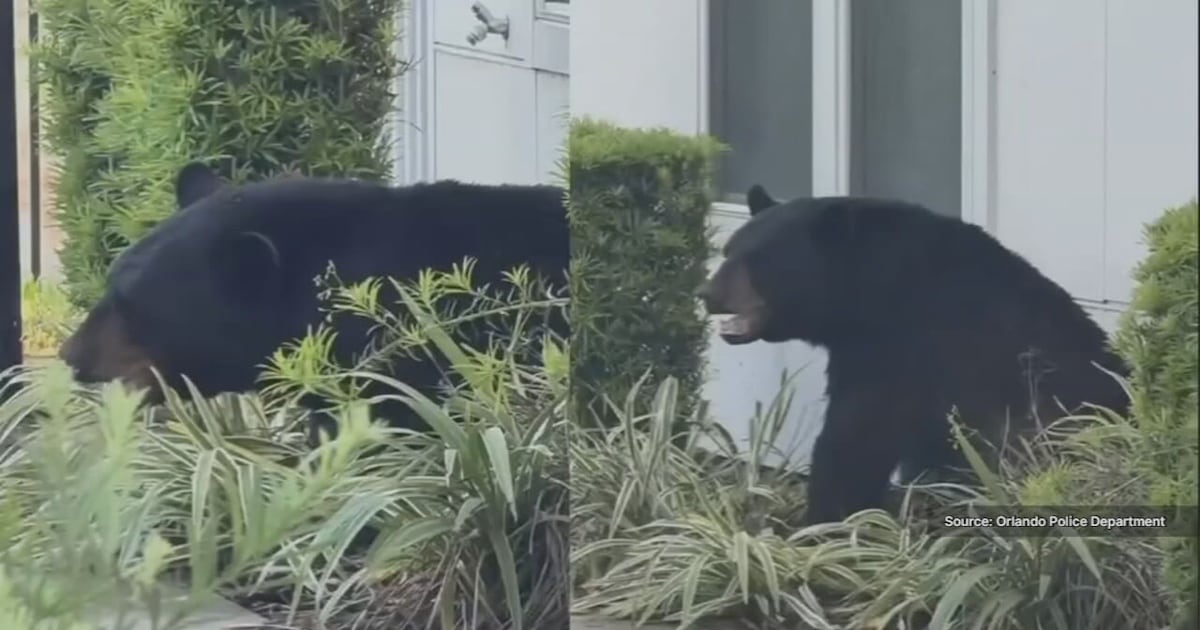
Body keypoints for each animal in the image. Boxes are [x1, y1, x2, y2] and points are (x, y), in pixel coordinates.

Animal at [697, 184, 1129, 525]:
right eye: (729, 250)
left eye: (755, 258)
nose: (707, 293)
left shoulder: (908, 348)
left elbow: (857, 435)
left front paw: (820, 519)